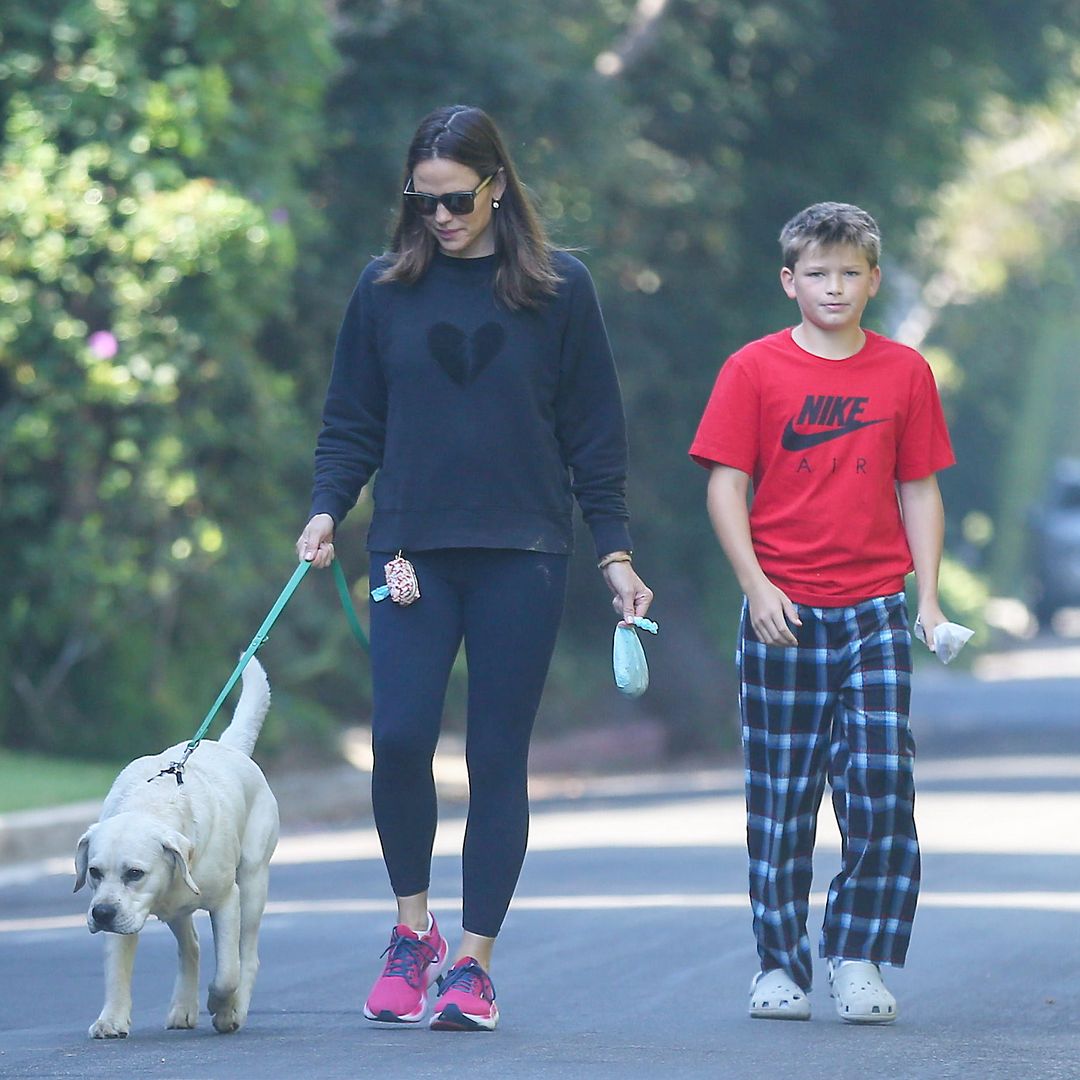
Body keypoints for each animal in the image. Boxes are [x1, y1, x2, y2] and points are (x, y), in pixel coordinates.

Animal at [73, 652, 278, 1041]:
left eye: (135, 873)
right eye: (93, 872)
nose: (101, 914)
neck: (152, 804)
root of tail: (230, 746)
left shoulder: (226, 901)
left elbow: (227, 972)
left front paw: (221, 1006)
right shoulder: (119, 913)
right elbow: (116, 968)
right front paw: (111, 1020)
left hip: (253, 882)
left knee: (247, 954)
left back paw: (234, 1009)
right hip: (177, 910)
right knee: (191, 946)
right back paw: (183, 1008)